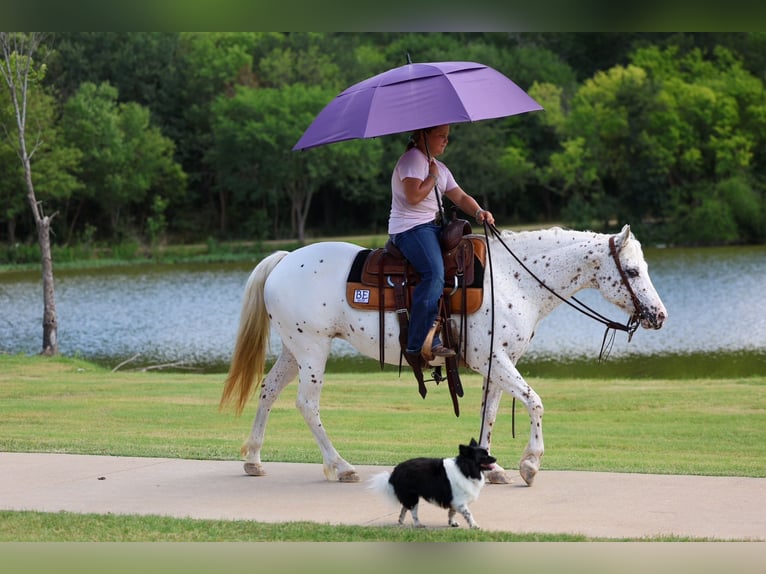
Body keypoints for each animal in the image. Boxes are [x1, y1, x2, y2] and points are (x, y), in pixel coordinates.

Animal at [220, 224, 667, 486]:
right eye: (631, 271)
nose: (659, 315)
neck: (514, 279)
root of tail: (284, 260)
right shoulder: (496, 361)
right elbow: (535, 401)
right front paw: (530, 464)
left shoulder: (498, 364)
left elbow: (489, 412)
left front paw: (493, 468)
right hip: (313, 349)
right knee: (307, 404)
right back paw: (341, 466)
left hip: (294, 350)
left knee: (268, 391)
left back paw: (254, 459)